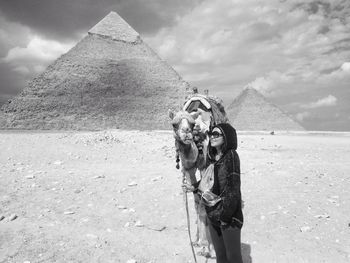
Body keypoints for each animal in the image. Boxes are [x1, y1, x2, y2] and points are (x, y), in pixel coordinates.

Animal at [170, 94, 230, 258]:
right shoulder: (188, 168)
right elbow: (196, 201)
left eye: (191, 124)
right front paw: (196, 240)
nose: (187, 133)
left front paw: (205, 246)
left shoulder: (205, 166)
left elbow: (202, 201)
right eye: (174, 124)